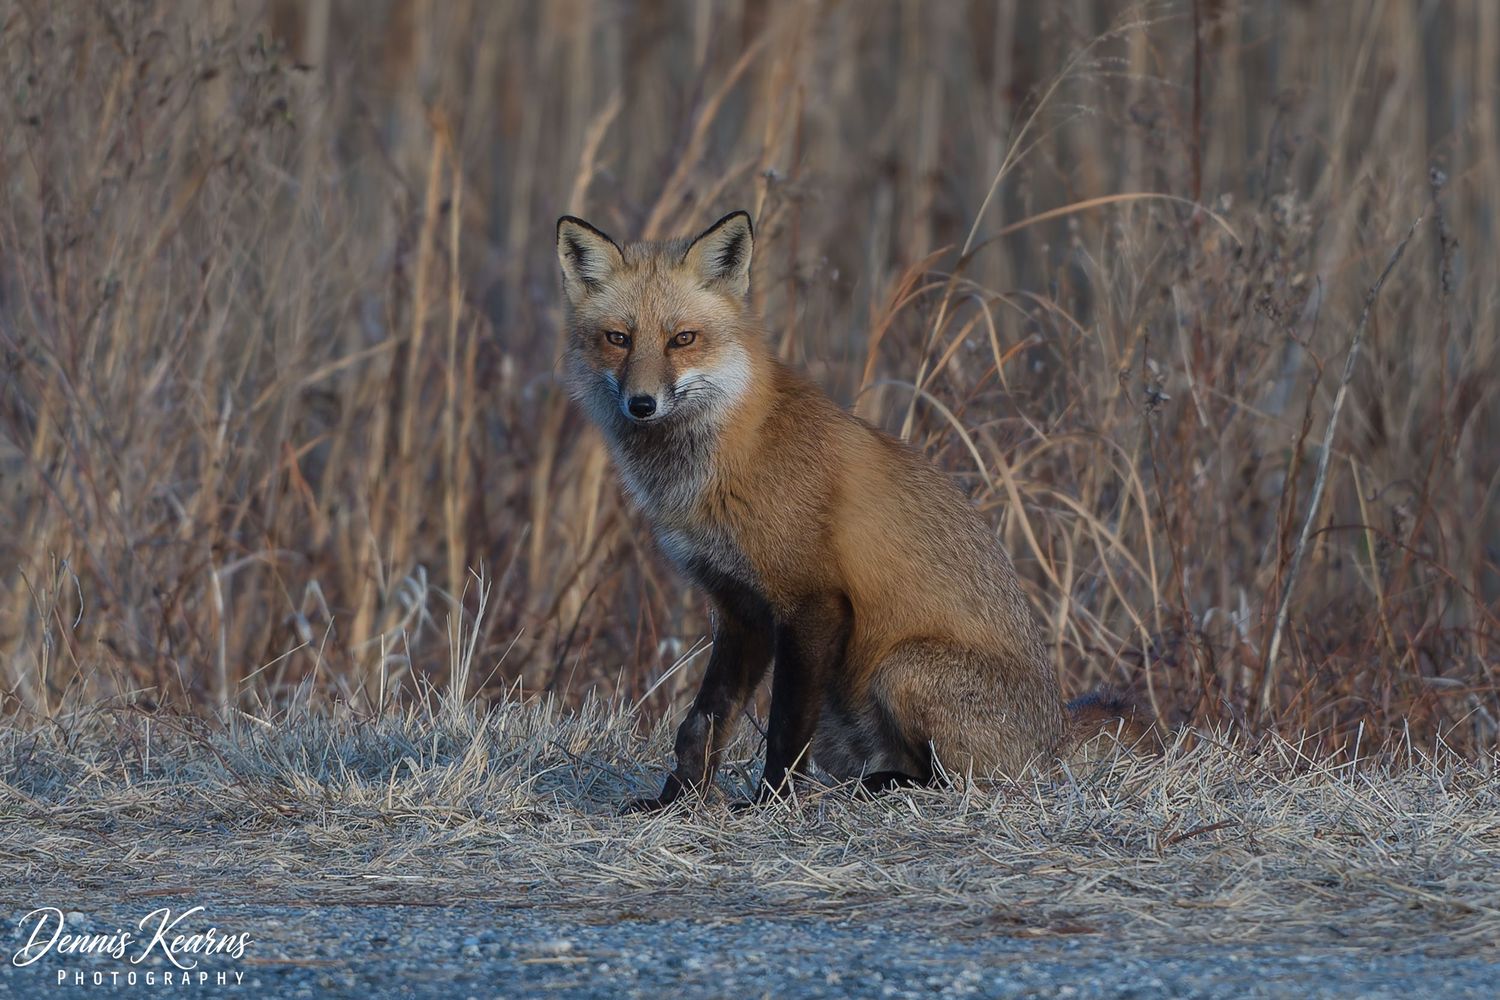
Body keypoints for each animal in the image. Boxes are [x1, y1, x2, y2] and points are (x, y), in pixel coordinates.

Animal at [555, 210, 1148, 810]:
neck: (726, 462)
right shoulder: (740, 607)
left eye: (682, 339)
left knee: (953, 780)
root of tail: (1055, 737)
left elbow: (785, 726)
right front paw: (675, 801)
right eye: (618, 339)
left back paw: (877, 788)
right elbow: (702, 720)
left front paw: (771, 803)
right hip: (845, 721)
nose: (642, 404)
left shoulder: (814, 602)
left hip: (900, 670)